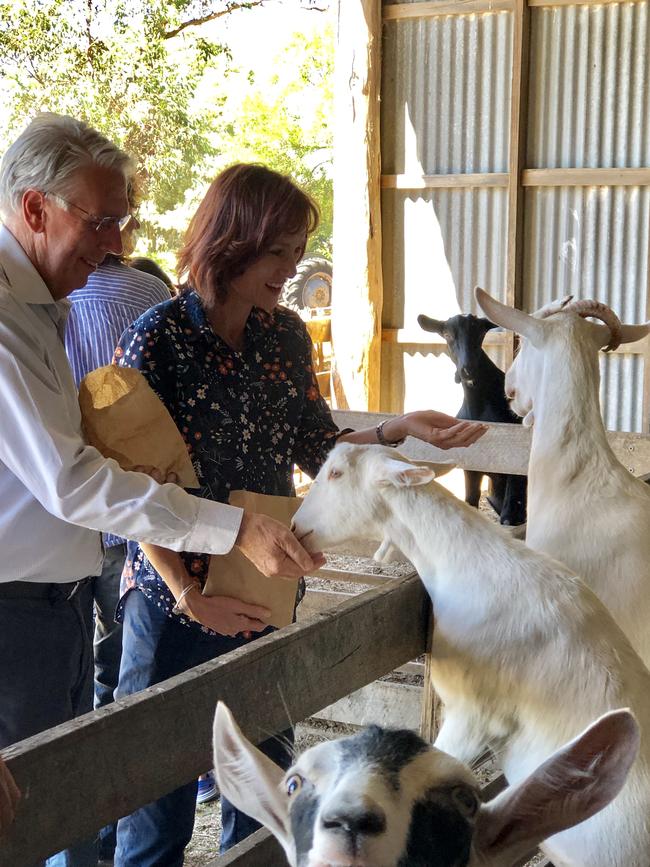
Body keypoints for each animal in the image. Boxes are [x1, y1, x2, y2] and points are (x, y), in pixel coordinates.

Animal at [416, 314, 528, 524]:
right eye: (447, 334)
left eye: (481, 332)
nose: (467, 370)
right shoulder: (472, 463)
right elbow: (471, 500)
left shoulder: (514, 461)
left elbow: (508, 517)